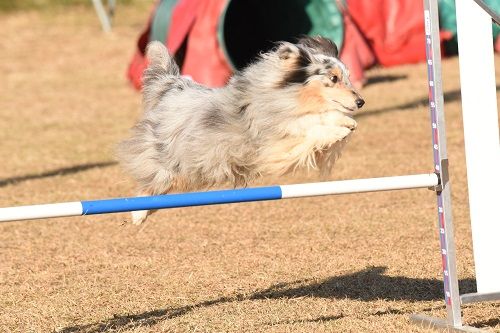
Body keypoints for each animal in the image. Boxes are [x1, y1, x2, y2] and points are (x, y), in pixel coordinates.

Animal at [119, 35, 366, 223]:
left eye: (348, 77)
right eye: (333, 78)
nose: (361, 102)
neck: (288, 97)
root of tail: (171, 86)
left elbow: (322, 121)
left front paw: (346, 122)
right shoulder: (275, 143)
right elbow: (310, 128)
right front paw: (339, 128)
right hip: (169, 163)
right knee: (148, 184)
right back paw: (137, 215)